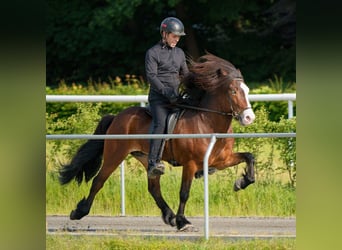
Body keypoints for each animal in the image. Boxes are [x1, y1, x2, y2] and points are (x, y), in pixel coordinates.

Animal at [58, 53, 255, 231]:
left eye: (247, 91)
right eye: (233, 91)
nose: (249, 117)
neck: (206, 122)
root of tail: (117, 117)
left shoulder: (222, 160)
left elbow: (249, 157)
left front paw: (241, 182)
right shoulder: (190, 164)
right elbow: (184, 193)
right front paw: (183, 222)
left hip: (147, 159)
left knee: (153, 188)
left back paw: (169, 216)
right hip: (115, 154)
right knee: (99, 180)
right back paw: (79, 212)